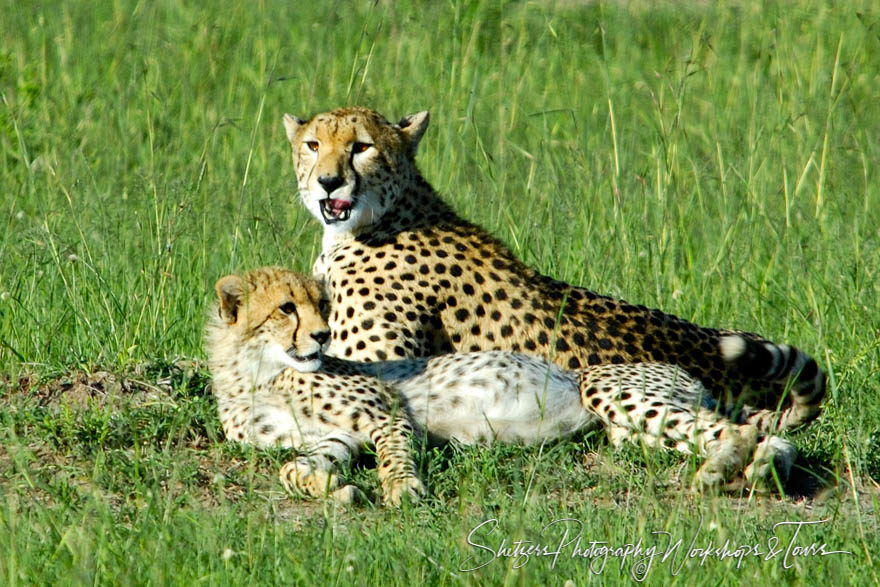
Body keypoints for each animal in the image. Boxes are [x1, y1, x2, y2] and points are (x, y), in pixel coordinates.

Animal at [206, 266, 796, 500]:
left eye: (321, 305)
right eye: (287, 307)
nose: (324, 334)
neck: (256, 373)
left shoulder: (385, 411)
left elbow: (396, 454)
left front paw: (402, 489)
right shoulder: (335, 435)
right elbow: (291, 468)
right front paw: (336, 489)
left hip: (605, 386)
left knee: (741, 431)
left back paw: (721, 471)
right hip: (631, 434)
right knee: (763, 436)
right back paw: (755, 470)